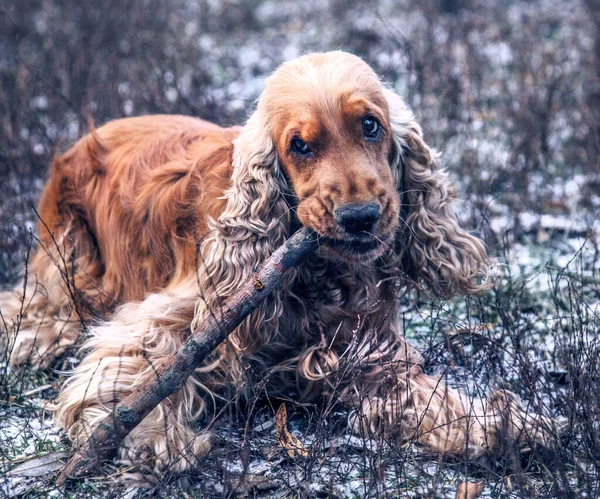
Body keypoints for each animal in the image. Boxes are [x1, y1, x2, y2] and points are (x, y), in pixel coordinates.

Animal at [0, 52, 556, 478]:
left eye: (371, 125)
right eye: (299, 145)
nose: (360, 217)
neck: (321, 276)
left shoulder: (368, 351)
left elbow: (430, 396)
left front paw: (501, 425)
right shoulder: (173, 314)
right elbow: (144, 369)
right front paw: (154, 436)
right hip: (68, 262)